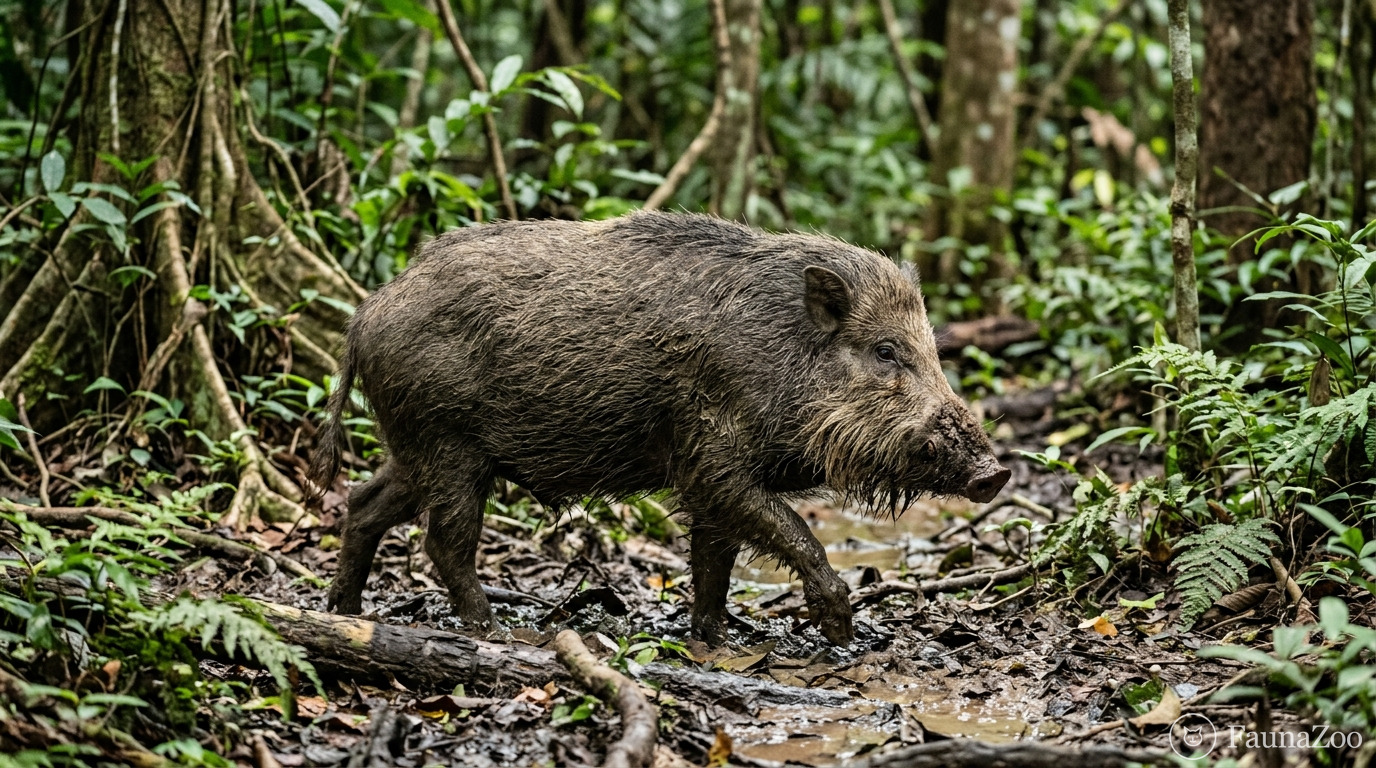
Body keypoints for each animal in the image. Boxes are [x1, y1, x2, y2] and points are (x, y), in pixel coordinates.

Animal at [307, 212, 1009, 645]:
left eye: (934, 350)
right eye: (886, 351)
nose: (995, 473)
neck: (782, 355)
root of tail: (365, 313)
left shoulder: (713, 476)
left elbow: (714, 560)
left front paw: (717, 637)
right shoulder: (712, 458)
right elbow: (791, 529)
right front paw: (840, 628)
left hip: (415, 446)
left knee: (364, 503)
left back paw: (341, 611)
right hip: (448, 445)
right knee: (444, 542)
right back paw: (494, 631)